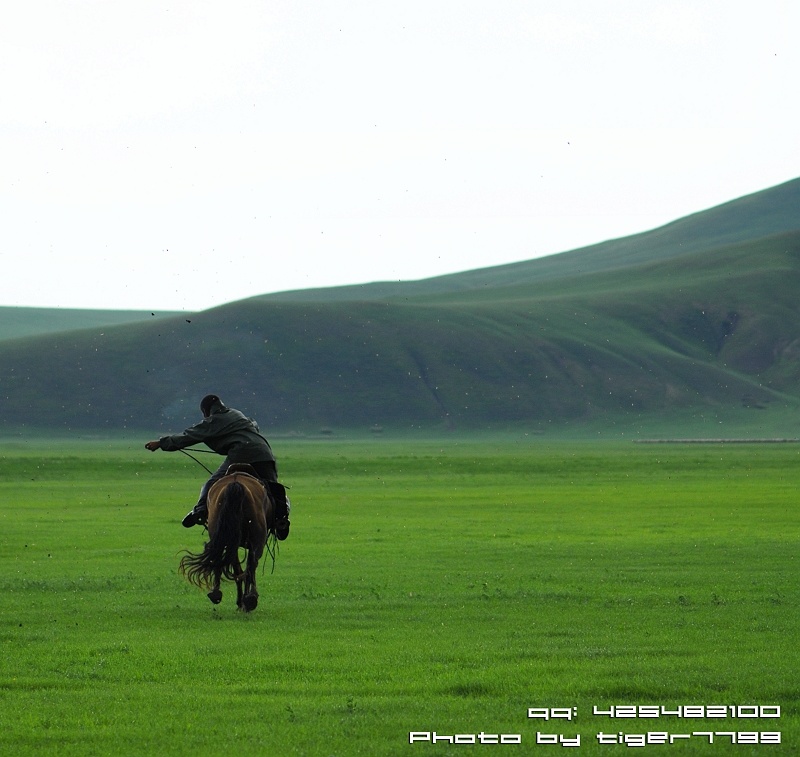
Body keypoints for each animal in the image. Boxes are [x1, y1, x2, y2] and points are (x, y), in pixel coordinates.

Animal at [178, 464, 272, 612]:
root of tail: (236, 483)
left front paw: (241, 601)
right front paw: (243, 601)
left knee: (225, 560)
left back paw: (218, 594)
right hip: (257, 539)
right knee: (250, 565)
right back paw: (250, 599)